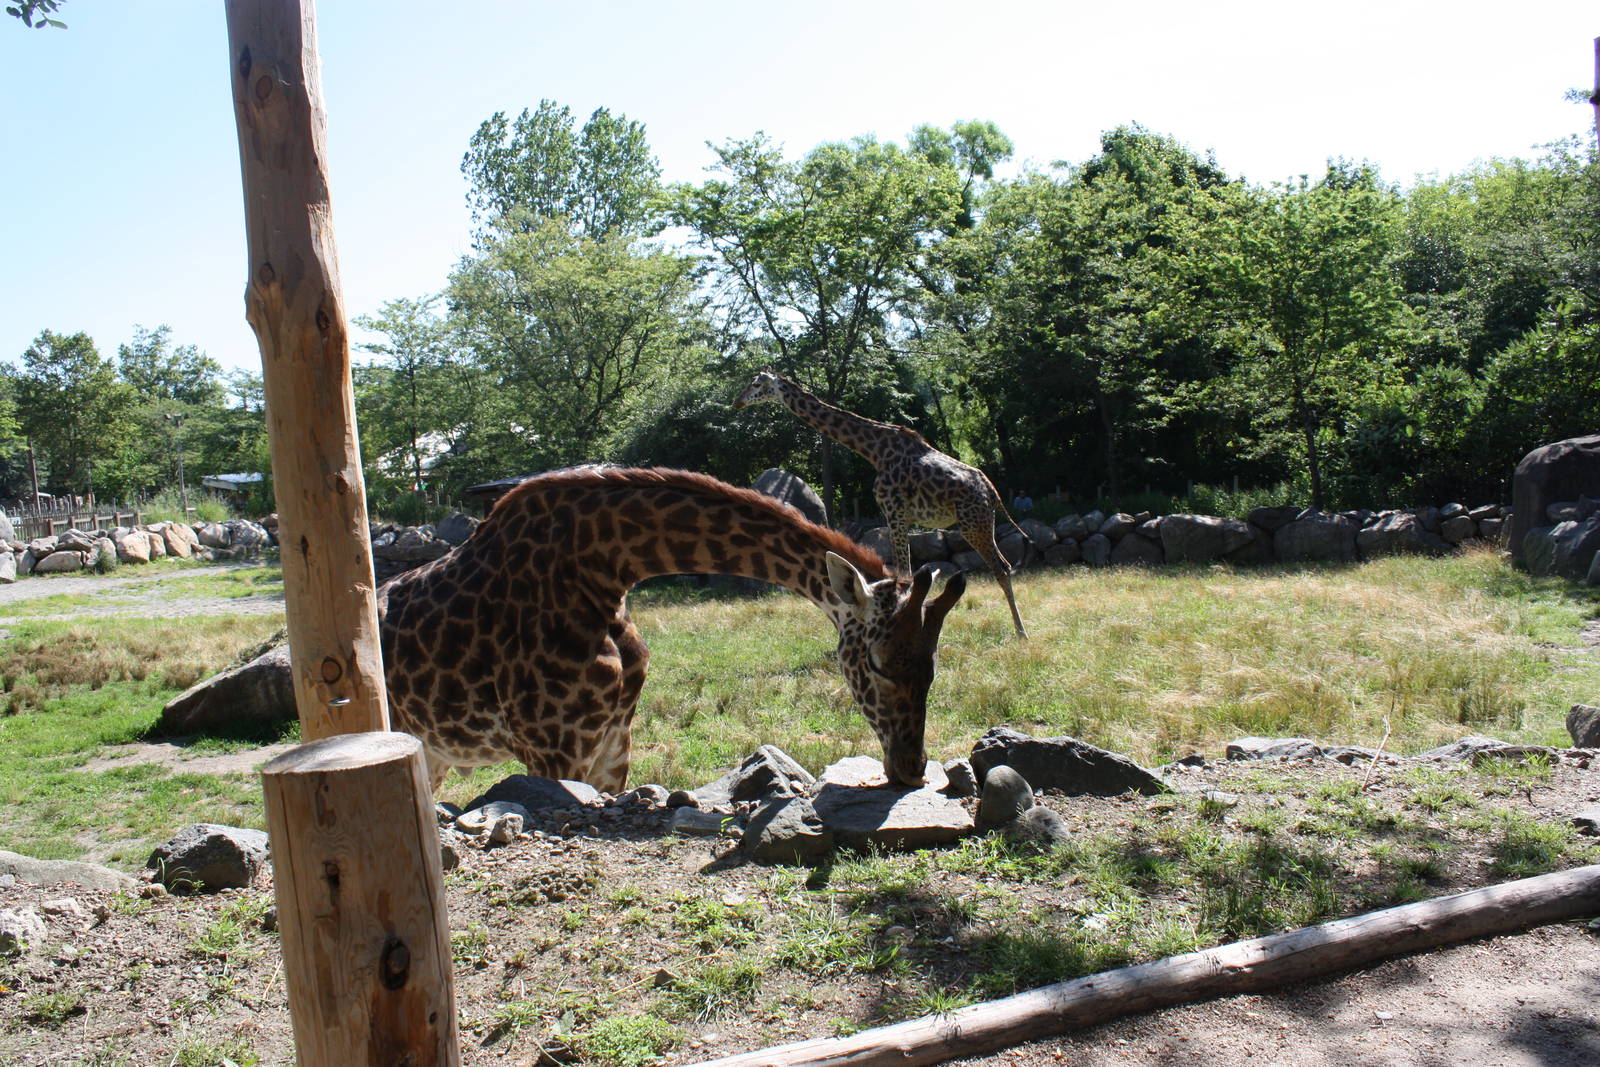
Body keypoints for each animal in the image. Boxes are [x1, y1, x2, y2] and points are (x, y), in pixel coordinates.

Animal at [376, 466, 966, 792]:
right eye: (878, 665)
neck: (600, 571)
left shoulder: (615, 741)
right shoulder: (552, 747)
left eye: (935, 668)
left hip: (433, 753)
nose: (912, 767)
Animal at [732, 370, 1028, 637]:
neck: (875, 451)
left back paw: (1021, 632)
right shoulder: (899, 516)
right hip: (981, 523)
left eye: (756, 384)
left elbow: (906, 577)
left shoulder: (894, 512)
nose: (737, 402)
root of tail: (992, 491)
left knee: (1001, 568)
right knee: (1005, 565)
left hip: (972, 523)